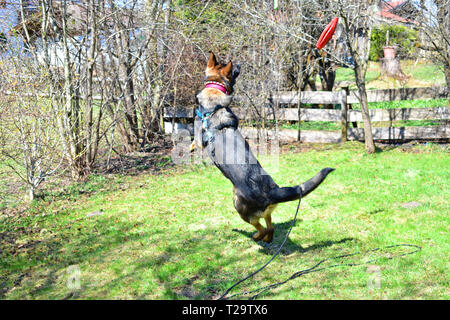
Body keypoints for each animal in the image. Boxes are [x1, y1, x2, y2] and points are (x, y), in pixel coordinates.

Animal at [195, 52, 336, 242]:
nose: (239, 64)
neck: (215, 95)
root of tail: (271, 192)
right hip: (265, 209)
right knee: (270, 225)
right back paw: (267, 238)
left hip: (237, 204)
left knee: (260, 226)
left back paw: (256, 236)